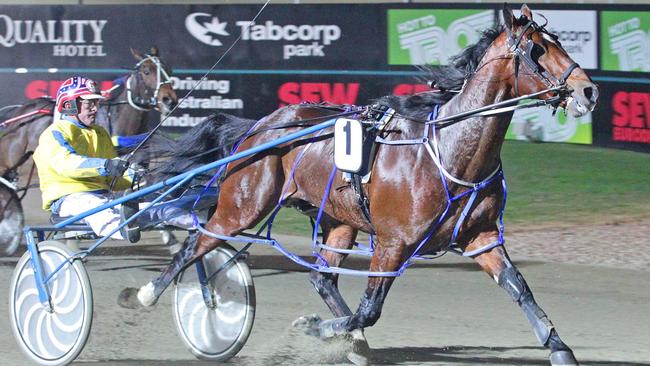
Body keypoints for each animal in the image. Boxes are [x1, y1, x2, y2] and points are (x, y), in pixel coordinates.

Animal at [0, 47, 176, 254]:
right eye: (146, 71)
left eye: (168, 69)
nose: (169, 100)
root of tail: (17, 112)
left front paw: (171, 239)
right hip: (8, 160)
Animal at [123, 5, 596, 366]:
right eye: (537, 50)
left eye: (561, 42)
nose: (587, 91)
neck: (447, 149)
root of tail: (260, 125)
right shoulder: (392, 243)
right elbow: (370, 309)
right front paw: (315, 327)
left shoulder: (481, 237)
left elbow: (520, 288)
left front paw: (560, 350)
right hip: (244, 205)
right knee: (196, 243)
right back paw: (145, 294)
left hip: (338, 220)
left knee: (321, 277)